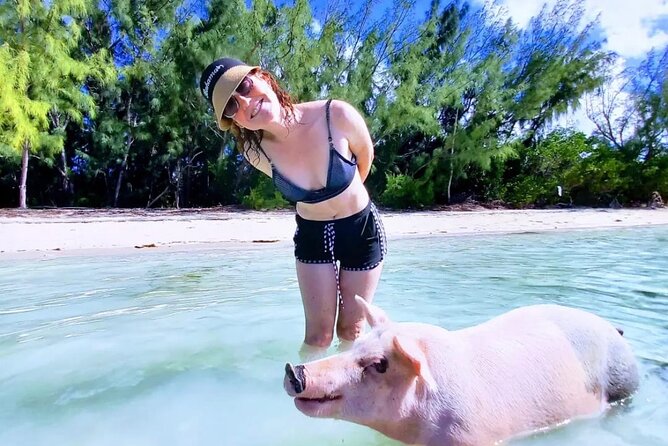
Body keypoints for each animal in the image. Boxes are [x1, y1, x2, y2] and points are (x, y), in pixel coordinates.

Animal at [284, 297, 639, 446]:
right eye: (357, 345)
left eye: (380, 364)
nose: (293, 370)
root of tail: (615, 329)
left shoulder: (471, 434)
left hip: (623, 381)